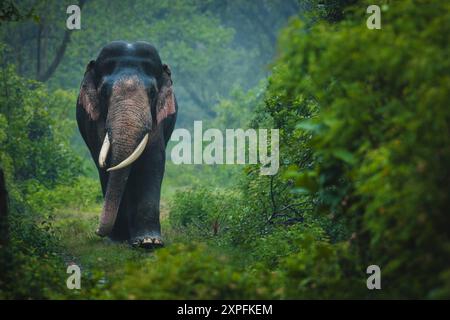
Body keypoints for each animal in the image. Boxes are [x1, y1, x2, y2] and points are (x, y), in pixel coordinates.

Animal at [76, 41, 177, 249]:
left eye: (152, 93)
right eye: (104, 93)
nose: (97, 231)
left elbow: (153, 160)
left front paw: (149, 242)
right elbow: (105, 162)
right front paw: (119, 240)